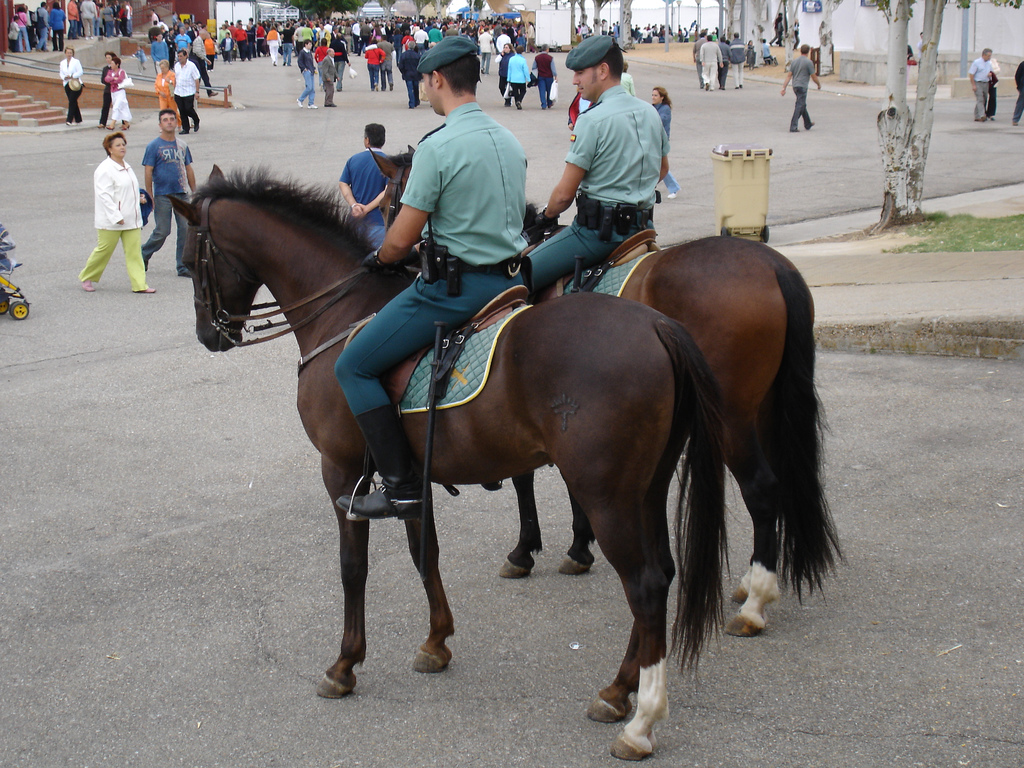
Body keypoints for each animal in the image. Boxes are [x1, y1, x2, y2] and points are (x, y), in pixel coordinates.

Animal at [169, 169, 729, 765]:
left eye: (192, 256)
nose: (209, 335)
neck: (343, 309)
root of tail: (656, 327)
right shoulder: (409, 479)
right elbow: (425, 553)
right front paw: (437, 641)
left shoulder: (340, 473)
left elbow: (352, 569)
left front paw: (345, 664)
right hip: (645, 490)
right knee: (660, 575)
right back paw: (620, 690)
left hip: (606, 495)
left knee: (643, 586)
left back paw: (641, 719)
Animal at [376, 148, 839, 638]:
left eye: (390, 205)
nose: (387, 256)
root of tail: (774, 265)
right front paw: (578, 544)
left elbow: (526, 477)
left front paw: (532, 549)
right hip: (764, 408)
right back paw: (753, 582)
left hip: (731, 417)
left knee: (762, 487)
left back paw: (754, 603)